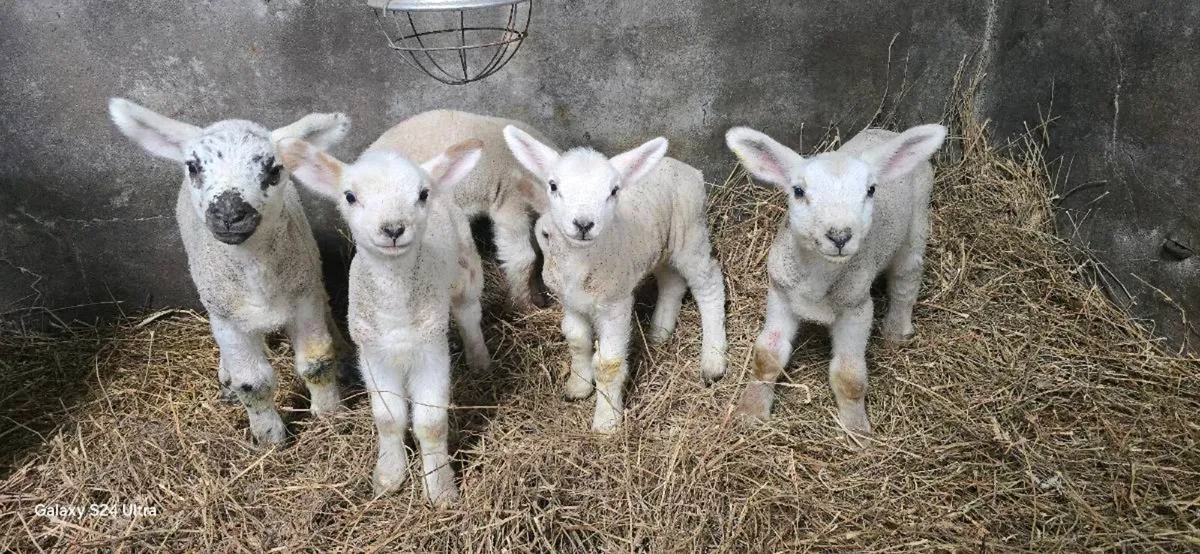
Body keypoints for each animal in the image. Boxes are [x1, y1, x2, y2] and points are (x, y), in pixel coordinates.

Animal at [109, 98, 352, 447]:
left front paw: (330, 416)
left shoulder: (303, 299)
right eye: (193, 167)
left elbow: (316, 363)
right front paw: (269, 437)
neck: (255, 273)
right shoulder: (227, 317)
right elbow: (252, 382)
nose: (229, 214)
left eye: (274, 170)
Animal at [278, 132, 489, 507]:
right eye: (350, 196)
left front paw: (440, 488)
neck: (396, 312)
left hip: (465, 265)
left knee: (468, 312)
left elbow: (431, 423)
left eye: (422, 194)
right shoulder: (373, 353)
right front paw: (389, 476)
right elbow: (388, 419)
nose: (393, 229)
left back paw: (479, 359)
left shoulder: (430, 350)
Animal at [504, 126, 728, 433]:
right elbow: (576, 340)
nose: (583, 224)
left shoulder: (615, 303)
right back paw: (659, 331)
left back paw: (713, 360)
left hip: (691, 234)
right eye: (553, 186)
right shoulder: (570, 302)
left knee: (709, 284)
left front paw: (606, 421)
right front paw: (578, 386)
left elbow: (608, 365)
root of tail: (688, 168)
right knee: (672, 281)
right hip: (660, 245)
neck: (582, 261)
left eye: (613, 191)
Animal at [724, 123, 947, 437]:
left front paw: (857, 430)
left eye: (871, 190)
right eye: (798, 191)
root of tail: (887, 132)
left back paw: (896, 329)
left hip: (917, 221)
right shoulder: (780, 294)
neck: (818, 280)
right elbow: (767, 356)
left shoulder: (857, 307)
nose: (840, 236)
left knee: (907, 277)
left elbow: (849, 374)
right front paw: (751, 410)